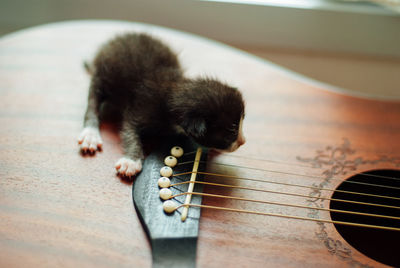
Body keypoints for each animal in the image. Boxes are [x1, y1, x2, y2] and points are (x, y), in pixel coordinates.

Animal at [78, 33, 245, 178]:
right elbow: (129, 131)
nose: (243, 142)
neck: (174, 88)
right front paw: (131, 161)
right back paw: (90, 134)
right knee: (93, 100)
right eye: (232, 130)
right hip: (104, 74)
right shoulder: (139, 107)